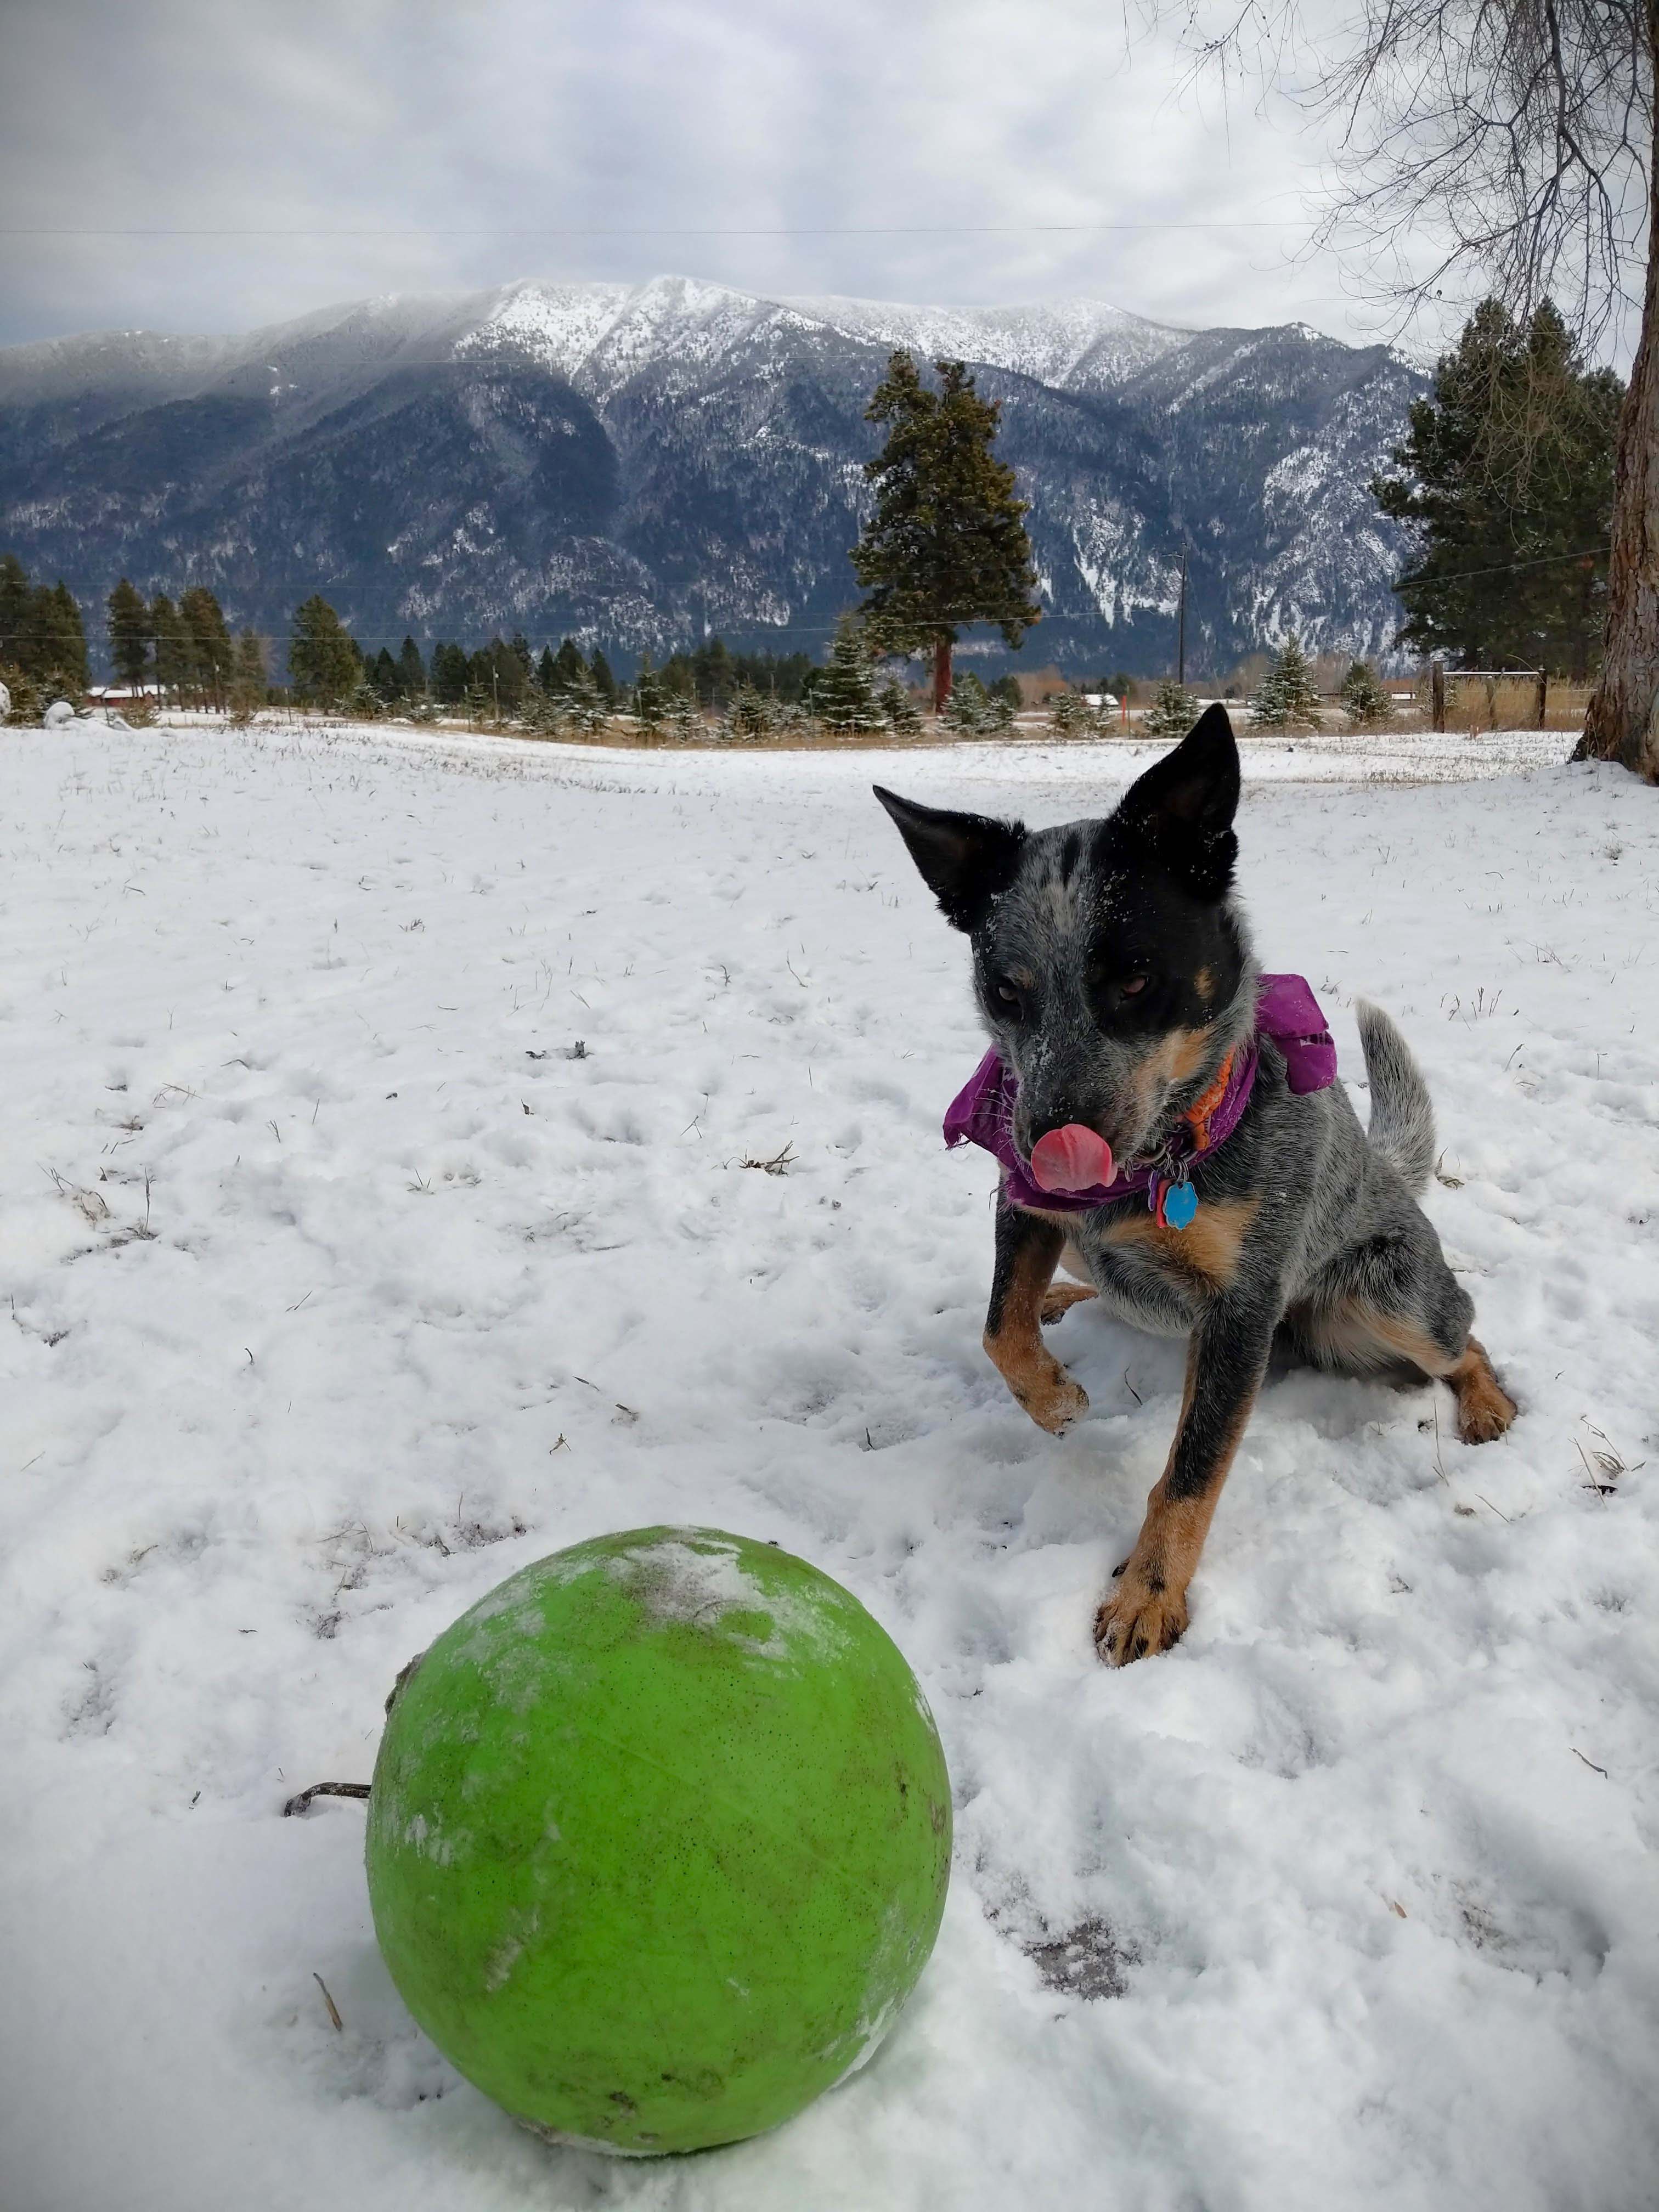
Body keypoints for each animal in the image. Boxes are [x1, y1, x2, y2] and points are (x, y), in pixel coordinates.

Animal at [884, 703, 1522, 1663]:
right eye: (1005, 991)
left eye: (1136, 978)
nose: (1048, 1143)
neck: (1158, 1168)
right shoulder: (1024, 1207)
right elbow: (999, 1329)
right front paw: (1056, 1399)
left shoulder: (1241, 1308)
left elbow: (1190, 1474)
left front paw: (1148, 1597)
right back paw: (1066, 1297)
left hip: (1389, 1300)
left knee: (1466, 1334)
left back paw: (1485, 1403)